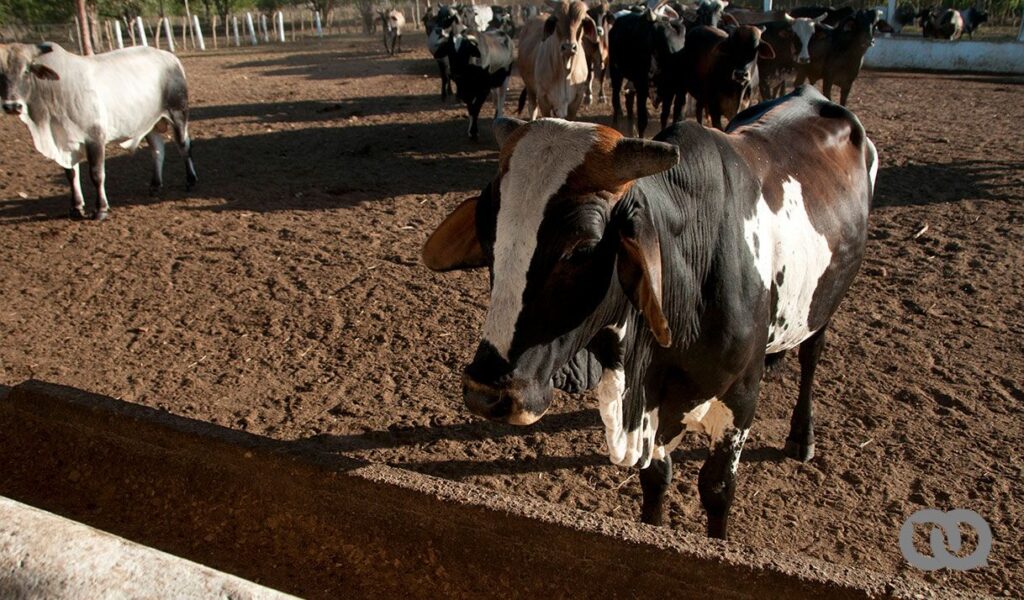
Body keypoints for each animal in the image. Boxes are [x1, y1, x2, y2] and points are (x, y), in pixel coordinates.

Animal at [0, 41, 195, 219]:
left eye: (26, 71)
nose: (12, 106)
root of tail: (169, 57)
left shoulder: (95, 138)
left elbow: (96, 174)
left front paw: (101, 209)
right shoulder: (65, 141)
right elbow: (71, 174)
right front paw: (76, 207)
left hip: (178, 113)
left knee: (183, 146)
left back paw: (190, 181)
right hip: (149, 123)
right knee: (157, 150)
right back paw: (155, 185)